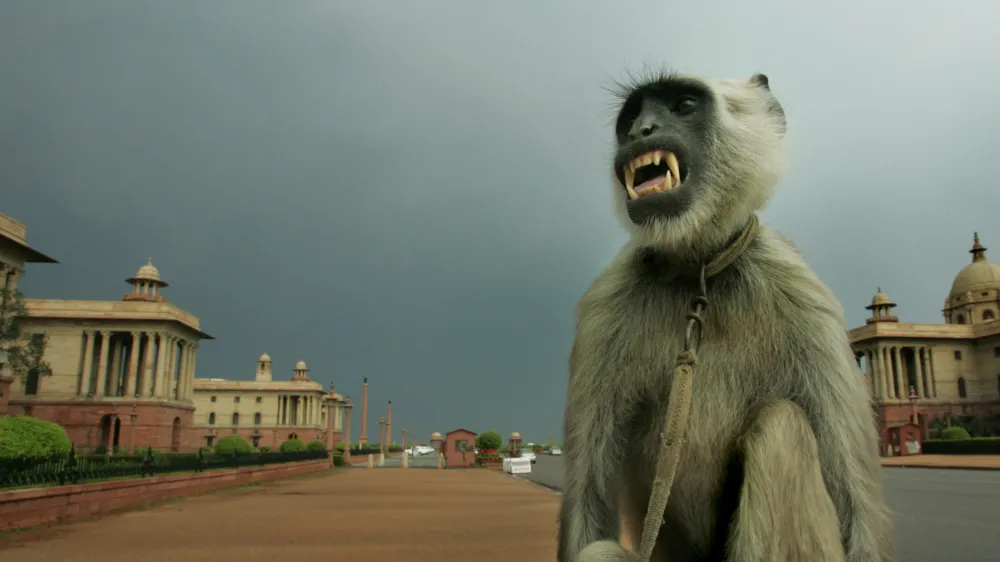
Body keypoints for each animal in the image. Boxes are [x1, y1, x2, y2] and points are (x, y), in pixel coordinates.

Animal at [560, 71, 896, 560]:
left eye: (683, 105)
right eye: (632, 118)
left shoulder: (806, 300)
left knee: (780, 428)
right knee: (601, 550)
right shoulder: (604, 307)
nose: (642, 131)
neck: (699, 271)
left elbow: (856, 505)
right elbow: (588, 503)